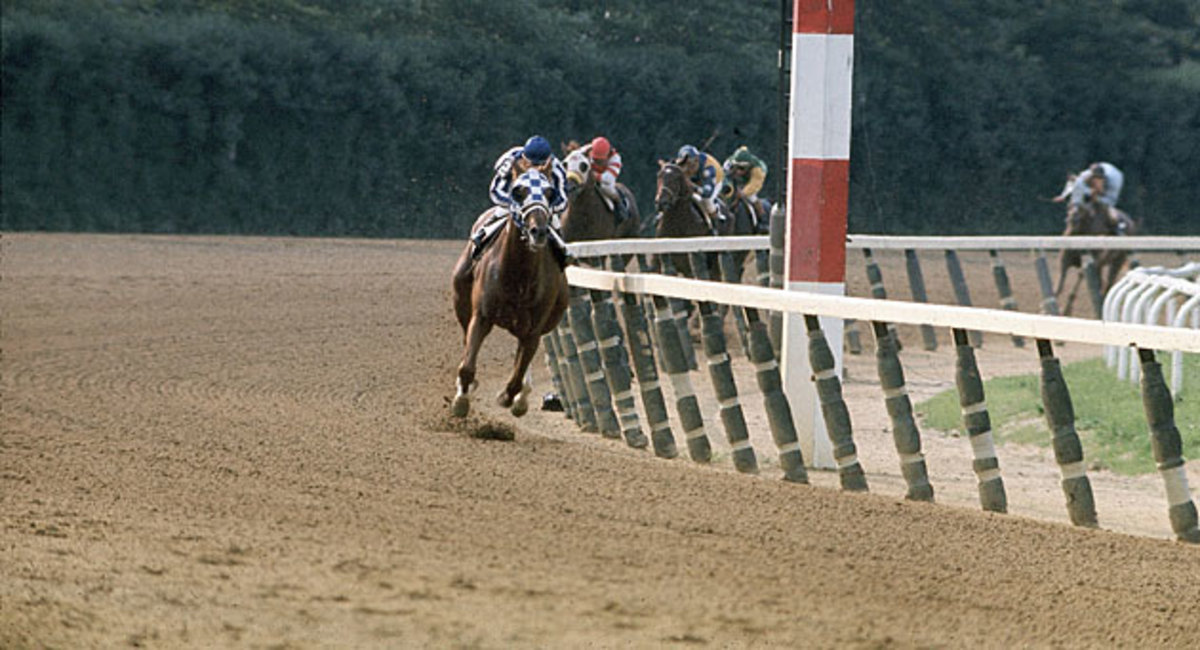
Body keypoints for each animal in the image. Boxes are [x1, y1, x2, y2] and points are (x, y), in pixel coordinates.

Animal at [451, 170, 568, 419]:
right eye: (518, 191)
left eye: (550, 192)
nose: (538, 231)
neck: (518, 274)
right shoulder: (482, 316)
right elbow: (467, 365)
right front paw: (461, 400)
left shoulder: (533, 329)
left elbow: (518, 372)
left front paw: (510, 397)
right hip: (461, 300)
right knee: (467, 339)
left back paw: (522, 397)